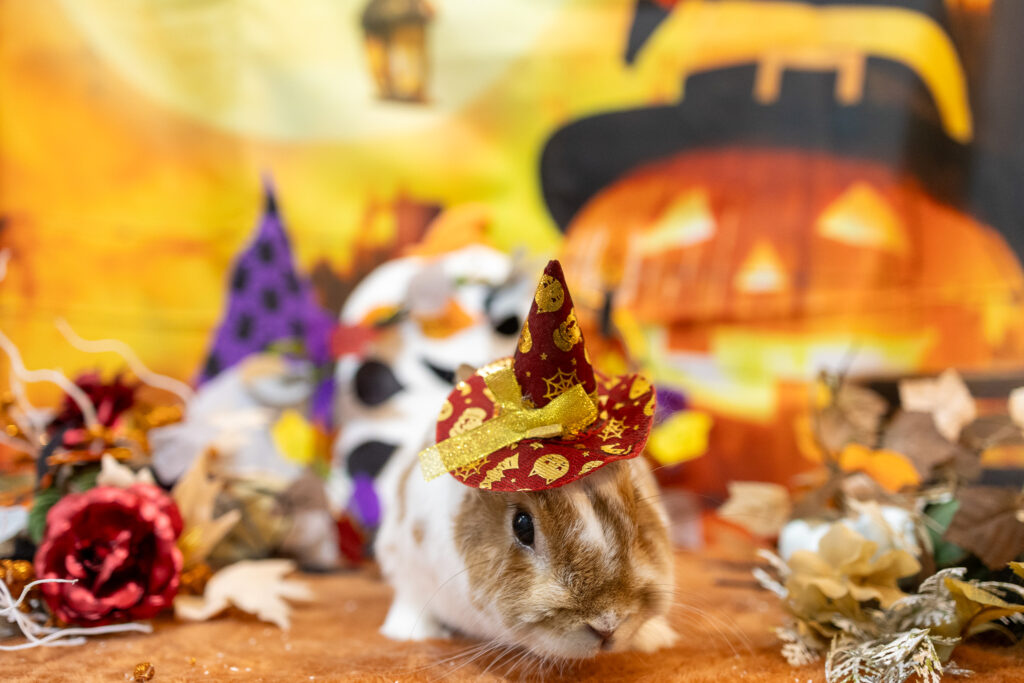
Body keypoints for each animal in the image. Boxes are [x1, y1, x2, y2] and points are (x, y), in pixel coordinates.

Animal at [375, 431, 678, 661]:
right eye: (522, 526)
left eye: (637, 506)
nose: (608, 625)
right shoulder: (406, 562)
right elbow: (411, 596)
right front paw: (410, 633)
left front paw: (656, 638)